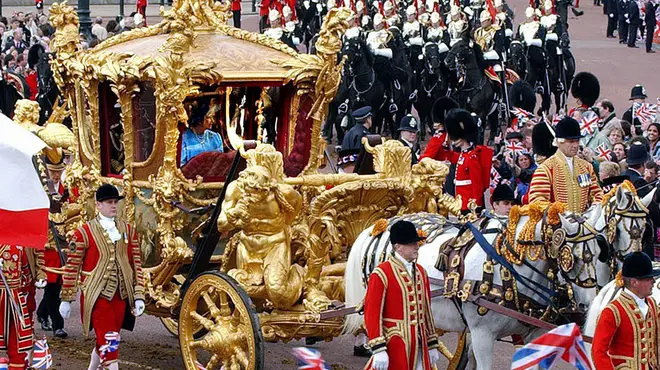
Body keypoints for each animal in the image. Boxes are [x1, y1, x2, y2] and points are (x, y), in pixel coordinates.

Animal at [346, 205, 604, 370]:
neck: (508, 272)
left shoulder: (533, 334)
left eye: (599, 253)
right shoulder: (482, 335)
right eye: (572, 256)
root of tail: (378, 226)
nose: (585, 306)